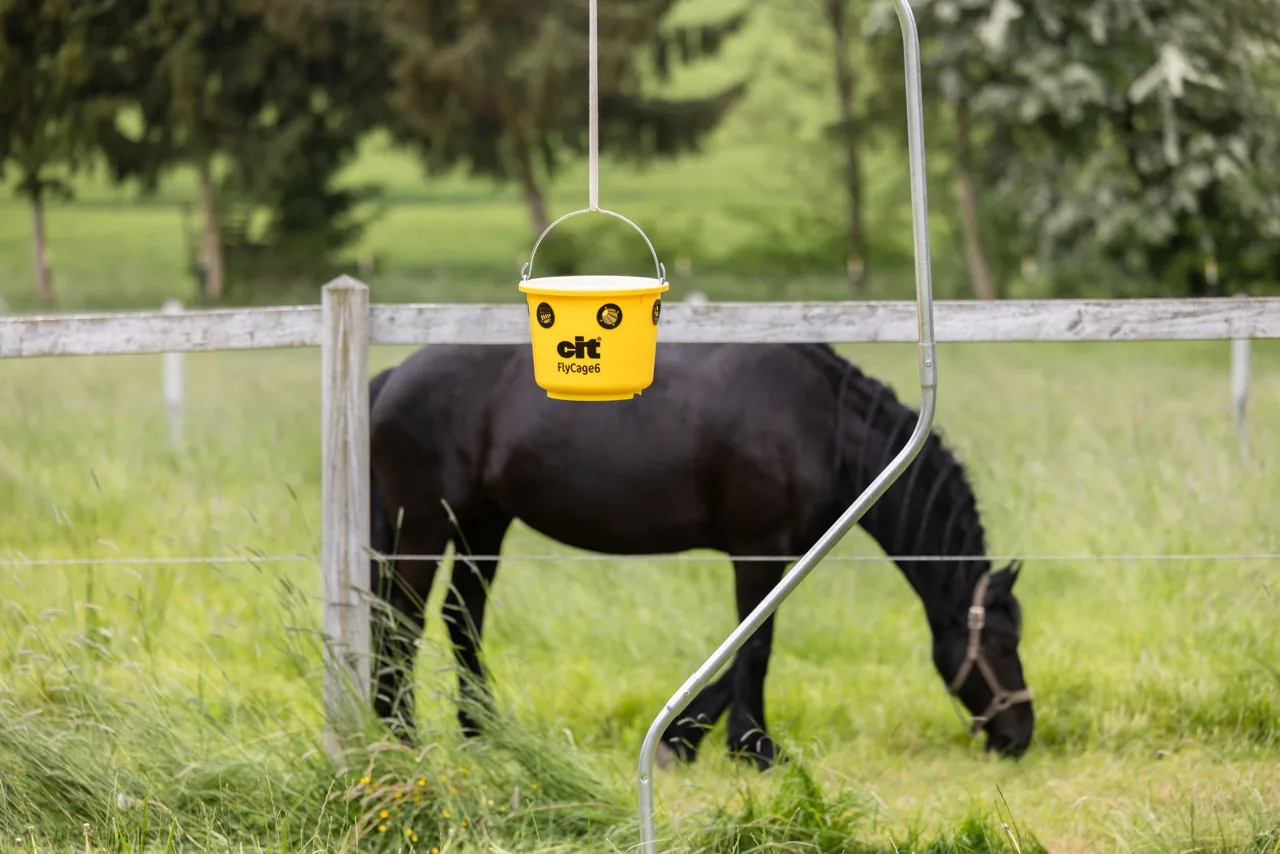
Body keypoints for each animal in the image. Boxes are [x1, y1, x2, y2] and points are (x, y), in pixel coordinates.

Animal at [365, 341, 1034, 770]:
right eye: (1002, 644)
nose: (1019, 734)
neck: (819, 419)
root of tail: (393, 375)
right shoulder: (758, 550)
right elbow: (756, 646)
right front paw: (754, 749)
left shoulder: (777, 555)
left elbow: (745, 645)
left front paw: (685, 738)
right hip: (426, 525)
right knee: (402, 621)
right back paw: (402, 738)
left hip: (483, 524)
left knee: (462, 618)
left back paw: (482, 734)